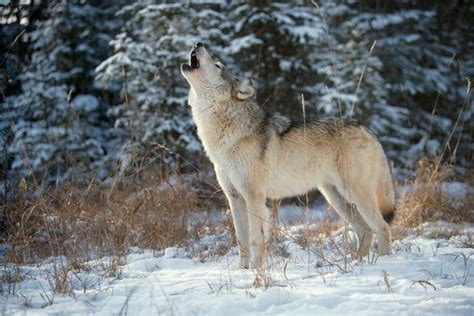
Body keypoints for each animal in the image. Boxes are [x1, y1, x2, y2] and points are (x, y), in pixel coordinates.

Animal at [181, 42, 396, 270]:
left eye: (218, 65)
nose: (198, 43)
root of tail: (367, 130)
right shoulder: (235, 198)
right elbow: (241, 242)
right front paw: (242, 271)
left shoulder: (254, 197)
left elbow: (255, 240)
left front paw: (256, 271)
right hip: (336, 198)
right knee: (365, 230)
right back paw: (356, 263)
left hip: (355, 195)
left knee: (383, 227)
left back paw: (382, 263)